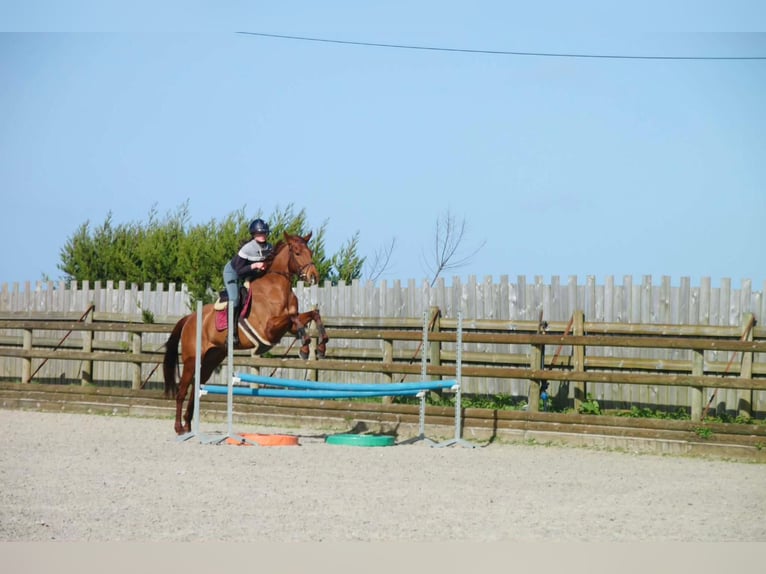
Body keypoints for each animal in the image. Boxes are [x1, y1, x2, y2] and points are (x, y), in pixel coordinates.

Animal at [163, 232, 329, 435]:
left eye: (310, 252)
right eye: (297, 253)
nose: (314, 277)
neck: (277, 287)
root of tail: (189, 318)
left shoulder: (287, 328)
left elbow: (313, 314)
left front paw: (321, 346)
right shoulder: (269, 329)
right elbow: (293, 318)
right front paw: (305, 348)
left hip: (211, 359)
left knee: (197, 387)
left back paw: (188, 425)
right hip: (191, 359)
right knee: (183, 389)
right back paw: (179, 427)